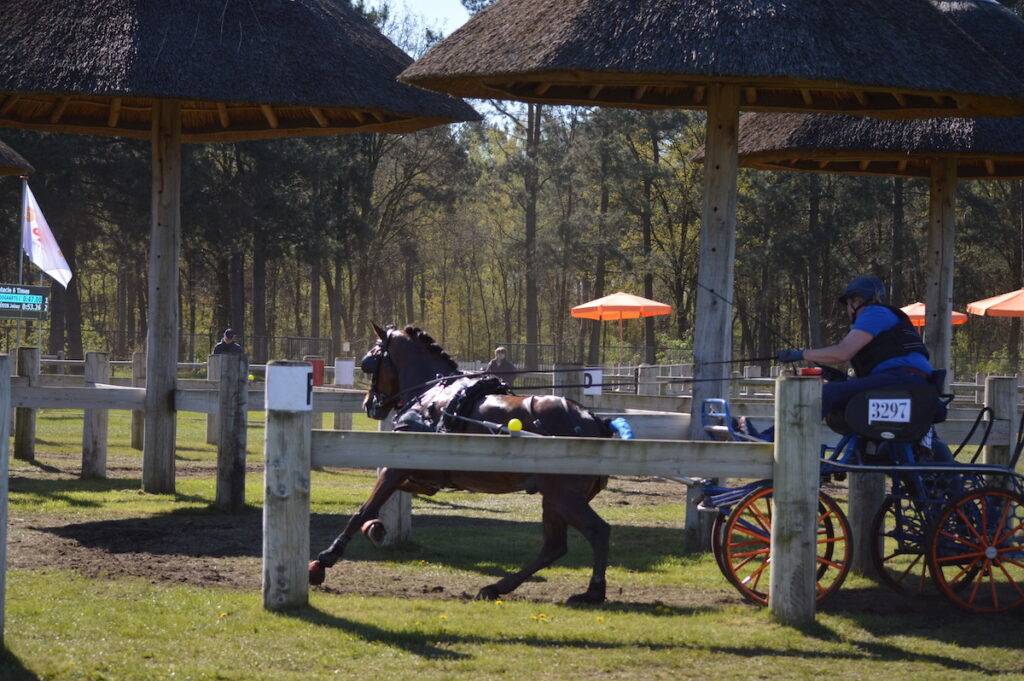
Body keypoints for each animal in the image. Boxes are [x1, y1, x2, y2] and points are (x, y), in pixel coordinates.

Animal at [308, 324, 614, 604]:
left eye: (369, 363)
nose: (368, 404)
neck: (430, 395)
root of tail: (594, 421)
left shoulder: (399, 468)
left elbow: (365, 507)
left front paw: (323, 561)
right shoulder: (422, 477)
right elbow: (380, 501)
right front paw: (375, 528)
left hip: (564, 496)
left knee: (596, 532)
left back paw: (593, 591)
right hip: (553, 498)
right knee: (554, 546)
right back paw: (497, 587)